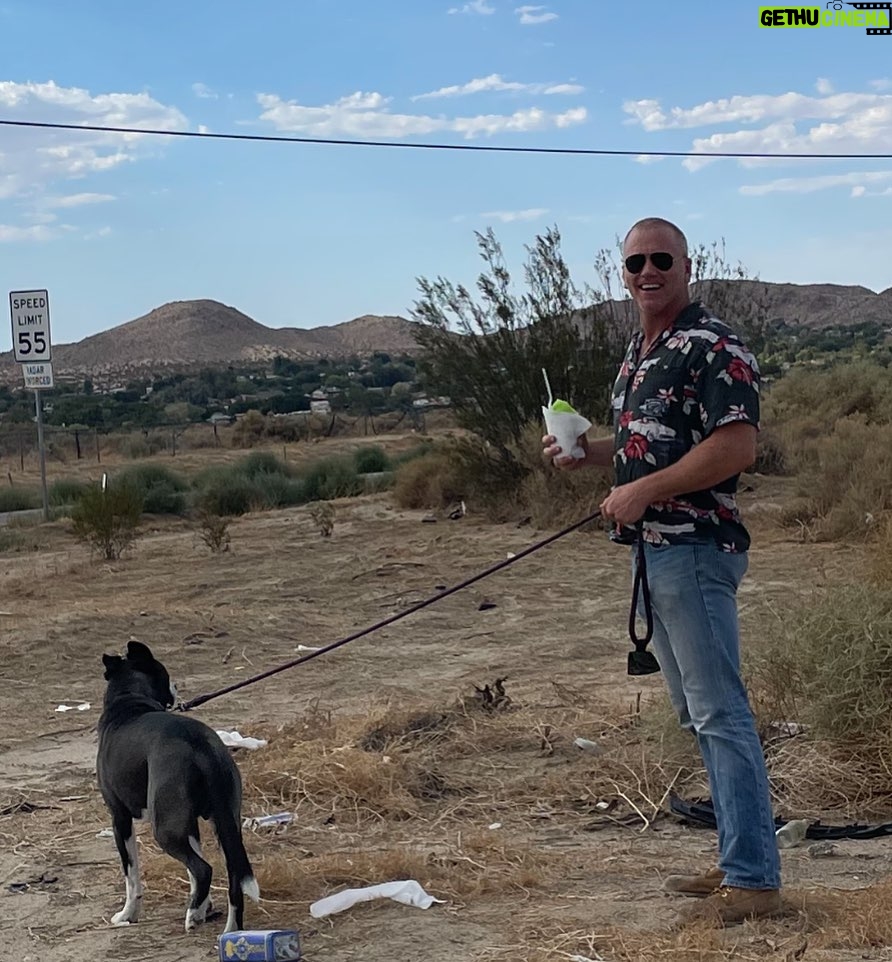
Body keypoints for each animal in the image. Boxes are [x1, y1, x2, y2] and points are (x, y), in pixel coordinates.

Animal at [98, 636, 258, 928]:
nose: (176, 686)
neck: (129, 700)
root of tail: (200, 744)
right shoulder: (190, 824)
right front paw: (205, 906)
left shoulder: (119, 818)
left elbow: (131, 876)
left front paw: (127, 914)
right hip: (226, 824)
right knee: (233, 877)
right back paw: (228, 928)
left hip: (165, 829)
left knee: (203, 868)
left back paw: (192, 915)